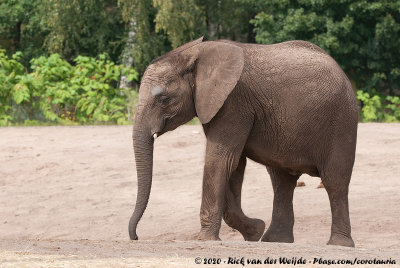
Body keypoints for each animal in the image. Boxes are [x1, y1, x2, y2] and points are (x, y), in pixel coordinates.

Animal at [130, 36, 358, 247]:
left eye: (164, 99)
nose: (136, 237)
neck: (195, 55)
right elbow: (234, 164)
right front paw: (254, 231)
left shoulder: (234, 103)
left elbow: (221, 160)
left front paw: (207, 240)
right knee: (282, 182)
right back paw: (275, 241)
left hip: (341, 123)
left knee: (334, 181)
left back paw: (338, 244)